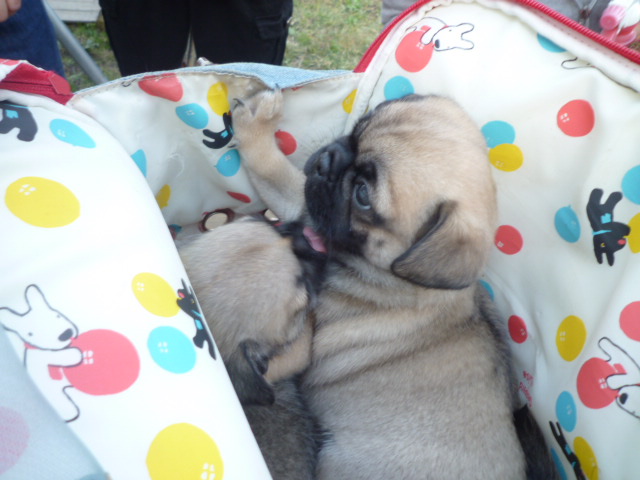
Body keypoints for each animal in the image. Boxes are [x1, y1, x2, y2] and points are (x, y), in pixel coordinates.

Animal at [231, 90, 556, 479]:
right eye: (358, 128)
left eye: (362, 195)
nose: (326, 161)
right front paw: (256, 122)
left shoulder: (313, 215)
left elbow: (275, 173)